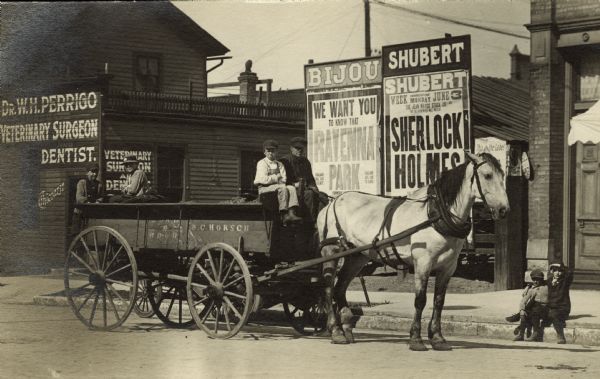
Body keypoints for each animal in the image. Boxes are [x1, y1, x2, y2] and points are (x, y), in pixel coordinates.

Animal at [316, 151, 508, 350]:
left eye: (503, 175)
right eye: (487, 175)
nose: (503, 209)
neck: (436, 214)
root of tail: (332, 202)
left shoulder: (448, 266)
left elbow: (439, 301)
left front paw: (437, 338)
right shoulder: (423, 262)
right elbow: (420, 300)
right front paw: (416, 338)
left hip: (357, 256)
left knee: (340, 288)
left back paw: (346, 328)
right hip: (331, 250)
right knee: (328, 287)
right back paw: (336, 330)